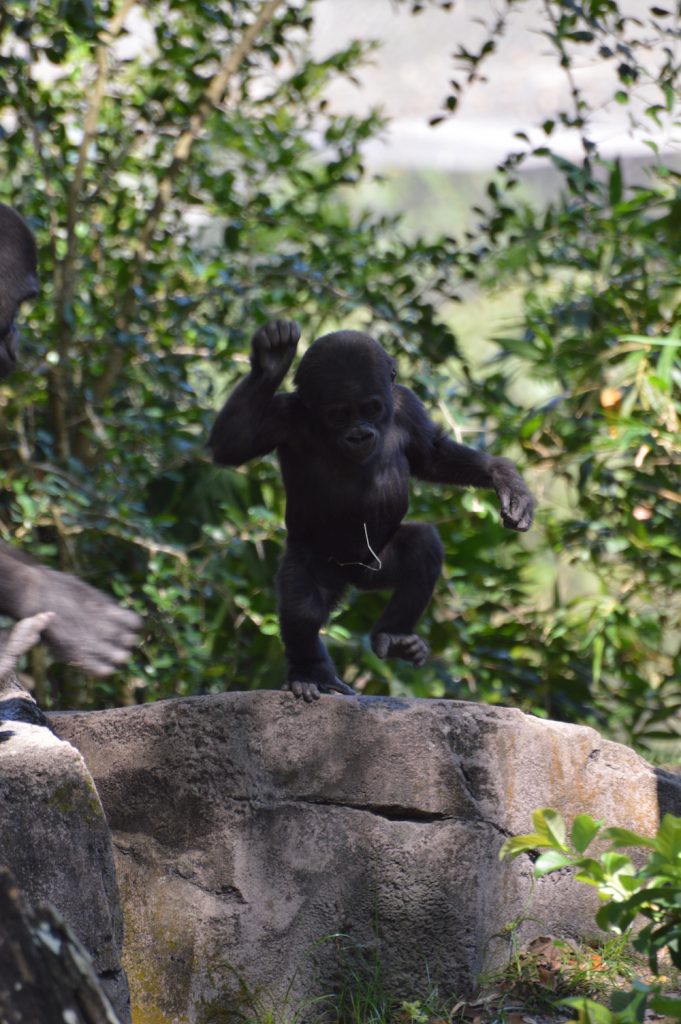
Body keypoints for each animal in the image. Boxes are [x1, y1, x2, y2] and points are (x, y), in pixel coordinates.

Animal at [209, 321, 532, 704]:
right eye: (338, 414)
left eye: (371, 408)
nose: (360, 434)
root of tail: (350, 579)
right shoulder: (283, 417)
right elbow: (234, 444)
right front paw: (271, 363)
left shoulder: (408, 406)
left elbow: (432, 455)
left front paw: (504, 477)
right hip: (316, 561)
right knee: (302, 605)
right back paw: (309, 673)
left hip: (376, 566)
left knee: (422, 546)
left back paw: (393, 636)